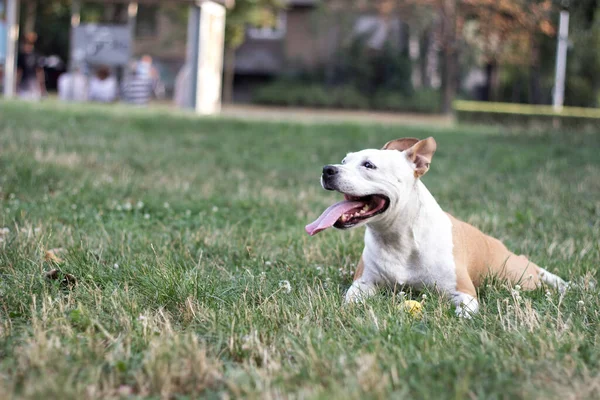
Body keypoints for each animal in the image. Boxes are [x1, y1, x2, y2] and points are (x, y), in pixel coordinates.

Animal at [304, 136, 568, 318]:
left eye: (369, 165)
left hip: (516, 277)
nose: (328, 169)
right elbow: (351, 299)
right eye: (344, 161)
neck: (398, 238)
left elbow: (465, 311)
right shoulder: (364, 283)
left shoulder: (464, 292)